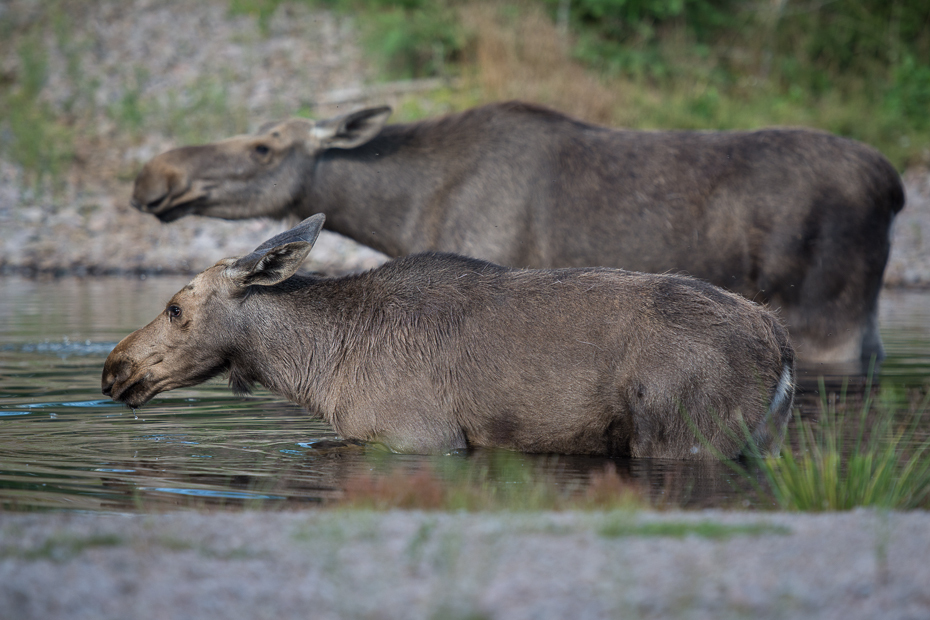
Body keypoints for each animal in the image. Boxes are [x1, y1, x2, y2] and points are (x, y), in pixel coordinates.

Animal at [105, 214, 792, 460]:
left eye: (174, 308)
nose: (114, 368)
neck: (317, 371)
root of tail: (781, 343)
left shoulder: (420, 438)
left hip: (685, 432)